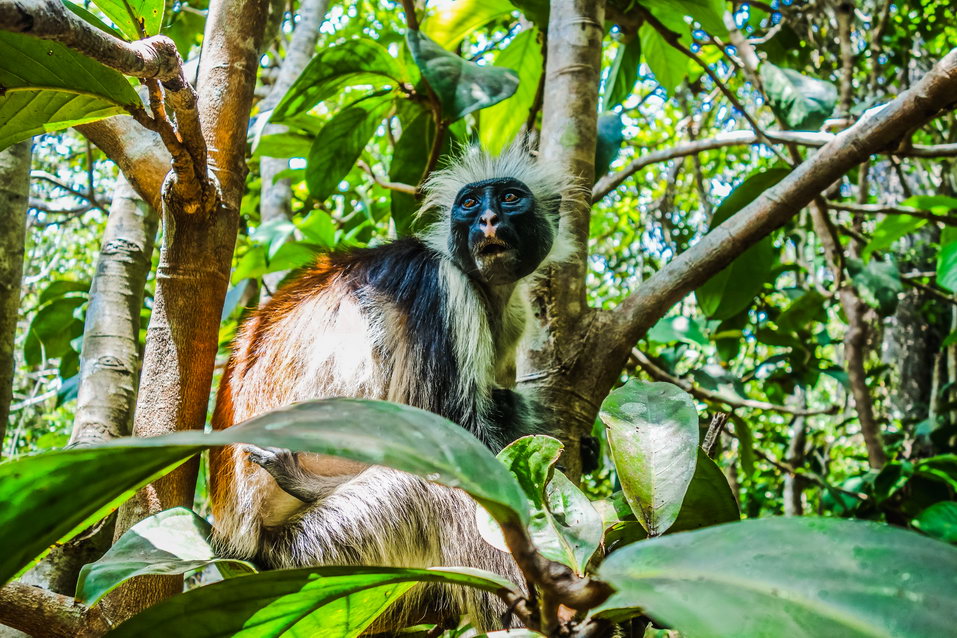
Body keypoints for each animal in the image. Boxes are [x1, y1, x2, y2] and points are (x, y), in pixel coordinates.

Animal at [211, 144, 568, 632]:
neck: (485, 291)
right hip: (316, 548)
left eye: (511, 197)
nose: (489, 219)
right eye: (470, 203)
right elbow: (455, 439)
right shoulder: (440, 287)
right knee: (443, 492)